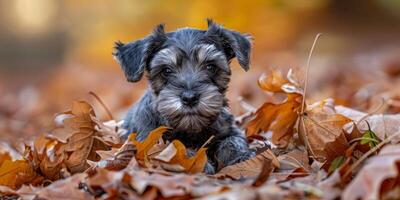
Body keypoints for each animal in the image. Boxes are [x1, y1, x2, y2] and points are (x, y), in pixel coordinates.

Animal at [114, 19, 255, 173]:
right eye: (166, 70)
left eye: (210, 66)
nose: (189, 98)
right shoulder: (149, 141)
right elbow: (175, 149)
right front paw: (201, 164)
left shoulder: (229, 131)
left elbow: (233, 141)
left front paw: (242, 156)